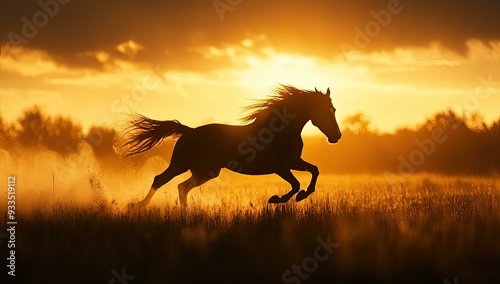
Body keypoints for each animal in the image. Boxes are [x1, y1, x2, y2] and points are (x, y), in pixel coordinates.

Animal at [114, 84, 342, 209]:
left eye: (334, 109)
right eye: (325, 110)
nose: (336, 136)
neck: (281, 131)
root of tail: (189, 131)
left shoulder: (294, 161)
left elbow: (314, 170)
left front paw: (304, 194)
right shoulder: (281, 167)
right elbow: (295, 184)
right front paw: (277, 199)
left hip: (205, 171)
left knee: (181, 187)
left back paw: (185, 213)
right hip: (184, 165)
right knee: (161, 180)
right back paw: (138, 206)